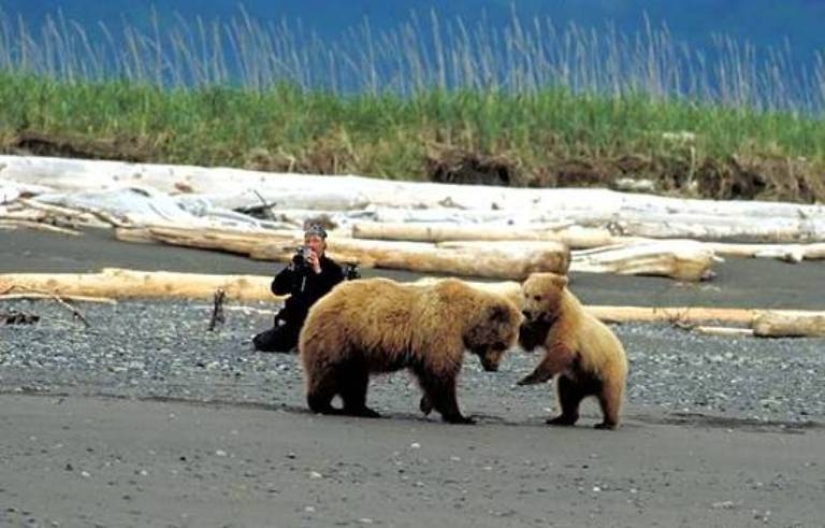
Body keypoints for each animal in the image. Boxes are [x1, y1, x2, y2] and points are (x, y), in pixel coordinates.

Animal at [298, 276, 520, 424]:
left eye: (505, 346)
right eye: (500, 344)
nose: (493, 366)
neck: (464, 321)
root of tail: (319, 303)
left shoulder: (427, 345)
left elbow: (430, 375)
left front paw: (426, 404)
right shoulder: (441, 331)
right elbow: (442, 373)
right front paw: (460, 416)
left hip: (356, 349)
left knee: (355, 379)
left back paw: (364, 409)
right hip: (340, 336)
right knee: (330, 373)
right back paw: (325, 405)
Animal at [520, 272, 628, 428]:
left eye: (538, 296)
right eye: (526, 294)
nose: (526, 311)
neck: (554, 313)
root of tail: (589, 389)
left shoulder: (566, 325)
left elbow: (562, 348)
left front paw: (528, 379)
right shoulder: (544, 328)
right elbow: (529, 343)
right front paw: (525, 325)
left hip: (606, 371)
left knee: (610, 398)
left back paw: (607, 423)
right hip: (574, 379)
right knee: (566, 395)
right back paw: (561, 418)